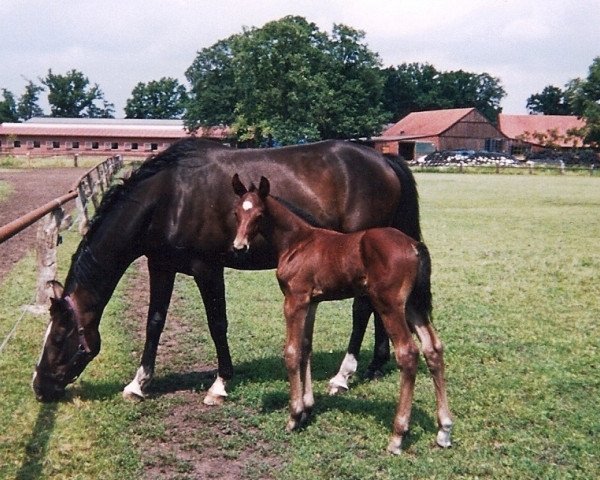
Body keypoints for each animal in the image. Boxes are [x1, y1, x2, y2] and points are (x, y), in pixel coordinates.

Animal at [32, 138, 422, 404]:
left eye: (59, 336)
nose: (39, 386)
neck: (169, 197)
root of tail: (384, 159)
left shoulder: (207, 267)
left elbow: (217, 323)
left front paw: (219, 385)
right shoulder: (161, 266)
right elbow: (154, 321)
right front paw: (138, 383)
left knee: (361, 309)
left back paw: (344, 375)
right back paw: (375, 365)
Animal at [232, 173, 452, 454]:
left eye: (259, 214)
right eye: (237, 212)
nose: (239, 247)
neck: (298, 242)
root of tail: (414, 245)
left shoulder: (294, 300)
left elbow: (291, 352)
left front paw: (294, 416)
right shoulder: (312, 302)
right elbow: (306, 348)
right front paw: (307, 410)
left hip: (389, 304)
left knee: (408, 353)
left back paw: (397, 435)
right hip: (413, 304)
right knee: (433, 349)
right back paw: (444, 430)